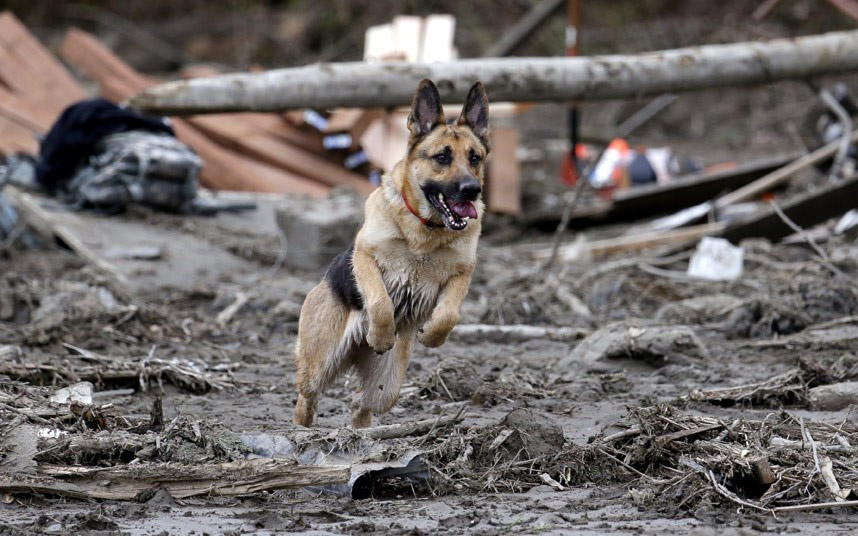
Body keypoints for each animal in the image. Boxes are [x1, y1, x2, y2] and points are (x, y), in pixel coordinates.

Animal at [292, 78, 488, 428]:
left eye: (475, 158)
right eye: (442, 157)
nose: (471, 190)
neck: (427, 230)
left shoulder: (462, 273)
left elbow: (449, 314)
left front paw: (432, 336)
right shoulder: (366, 258)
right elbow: (381, 303)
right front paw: (382, 336)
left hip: (389, 386)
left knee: (361, 403)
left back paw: (359, 433)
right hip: (319, 364)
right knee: (306, 398)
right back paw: (302, 431)